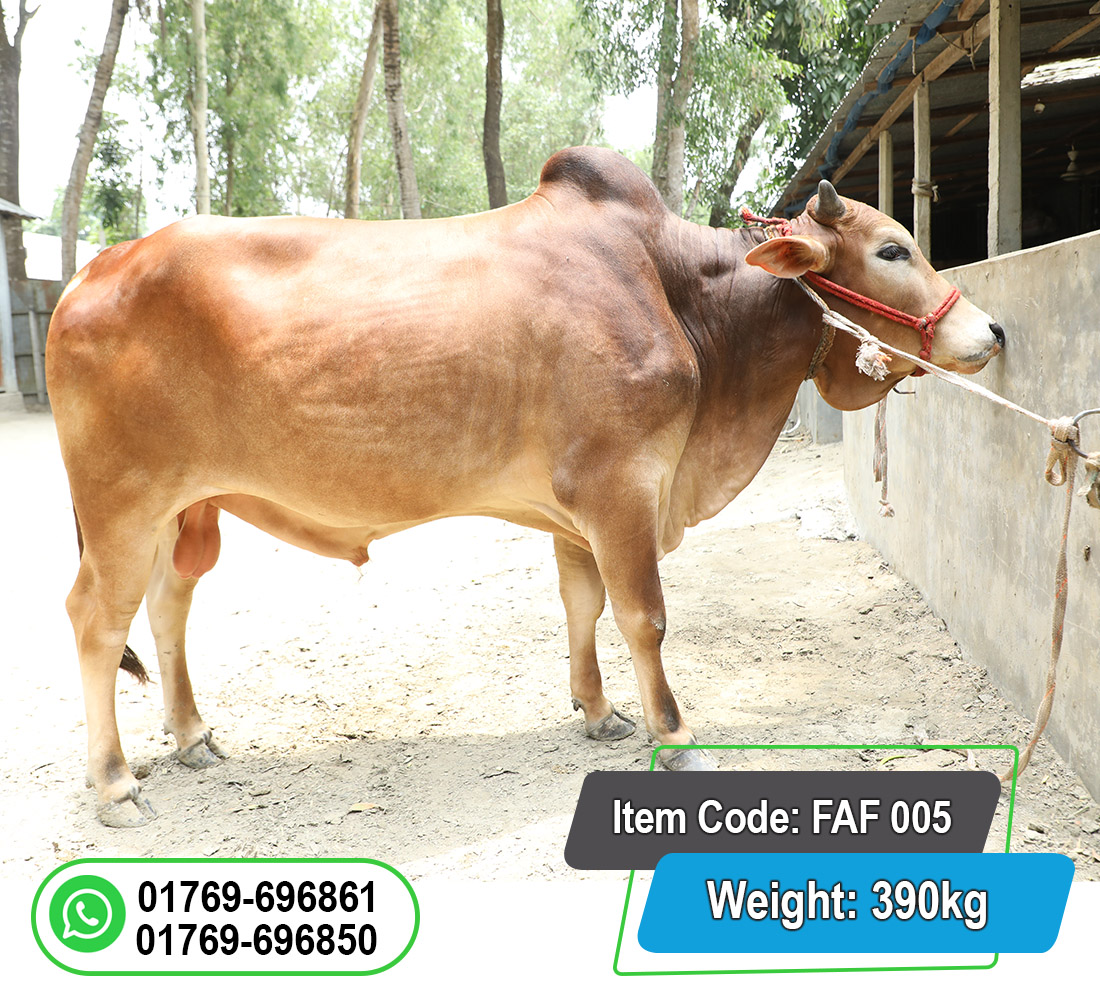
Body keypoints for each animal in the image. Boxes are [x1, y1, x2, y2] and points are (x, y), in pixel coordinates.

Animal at [46, 147, 1003, 827]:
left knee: (167, 609)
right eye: (892, 247)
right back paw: (116, 785)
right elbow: (644, 618)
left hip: (185, 511)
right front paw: (675, 738)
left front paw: (598, 712)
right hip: (122, 506)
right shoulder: (622, 488)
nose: (992, 329)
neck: (679, 296)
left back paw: (193, 737)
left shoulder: (578, 512)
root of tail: (94, 270)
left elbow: (583, 605)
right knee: (95, 621)